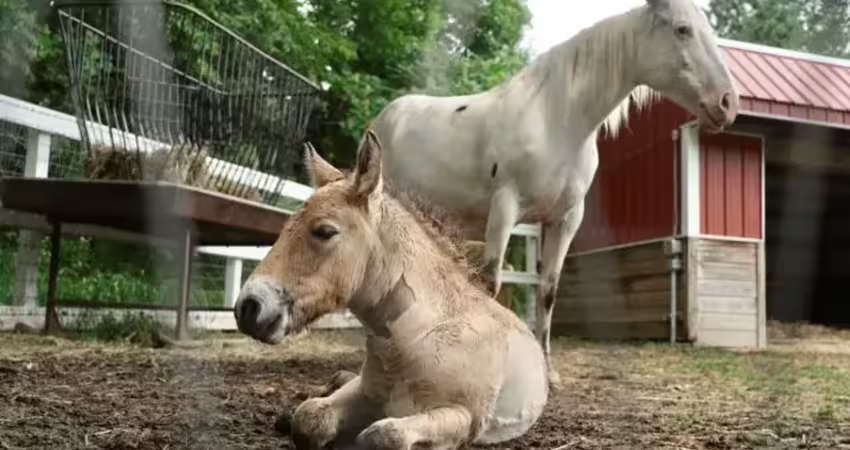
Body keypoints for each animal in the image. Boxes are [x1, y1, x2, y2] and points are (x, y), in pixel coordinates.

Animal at [233, 130, 549, 450]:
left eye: (325, 231)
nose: (249, 307)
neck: (415, 338)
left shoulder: (465, 417)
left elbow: (383, 436)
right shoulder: (365, 392)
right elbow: (309, 419)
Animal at [367, 0, 740, 389]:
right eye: (682, 29)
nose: (728, 103)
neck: (556, 120)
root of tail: (382, 120)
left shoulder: (564, 220)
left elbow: (548, 292)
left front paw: (549, 373)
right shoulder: (505, 209)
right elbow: (490, 284)